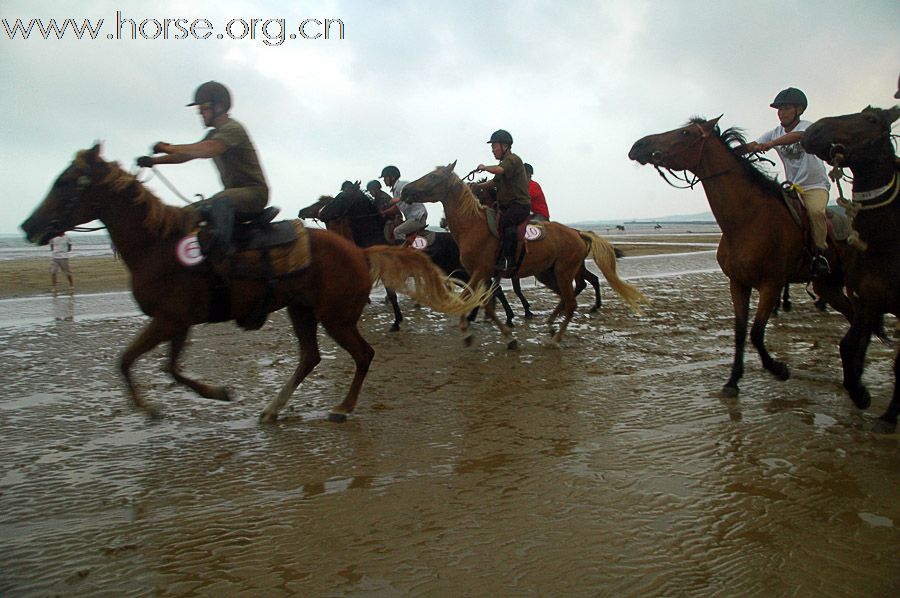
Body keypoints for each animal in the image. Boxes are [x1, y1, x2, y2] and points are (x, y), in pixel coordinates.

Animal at [19, 146, 486, 424]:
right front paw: (212, 392)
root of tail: (359, 253)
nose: (28, 226)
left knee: (364, 353)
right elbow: (166, 367)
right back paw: (273, 409)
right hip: (302, 310)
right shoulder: (177, 321)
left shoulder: (169, 319)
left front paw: (158, 405)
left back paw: (341, 406)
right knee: (310, 358)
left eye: (65, 182)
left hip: (334, 317)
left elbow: (131, 361)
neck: (159, 244)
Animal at [298, 186, 520, 328]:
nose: (323, 213)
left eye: (340, 199)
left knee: (494, 289)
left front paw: (396, 322)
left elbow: (391, 294)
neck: (374, 234)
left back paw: (508, 317)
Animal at [400, 162, 648, 350]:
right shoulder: (481, 274)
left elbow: (471, 300)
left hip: (564, 271)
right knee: (566, 297)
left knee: (572, 301)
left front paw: (471, 332)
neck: (473, 226)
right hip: (548, 273)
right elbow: (487, 304)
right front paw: (506, 337)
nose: (405, 191)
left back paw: (556, 338)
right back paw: (551, 324)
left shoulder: (480, 272)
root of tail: (577, 233)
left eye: (433, 176)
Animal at [624, 116, 852, 398]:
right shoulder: (738, 283)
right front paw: (733, 380)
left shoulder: (771, 284)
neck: (748, 219)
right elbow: (741, 331)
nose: (638, 145)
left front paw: (779, 369)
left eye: (685, 133)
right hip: (829, 284)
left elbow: (756, 333)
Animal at [800, 104, 900, 432]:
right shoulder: (868, 302)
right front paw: (860, 393)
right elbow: (848, 345)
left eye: (871, 119)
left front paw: (889, 416)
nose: (814, 130)